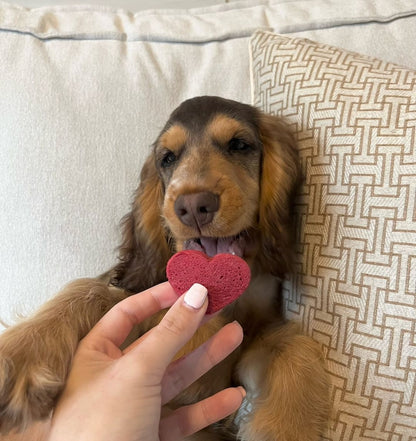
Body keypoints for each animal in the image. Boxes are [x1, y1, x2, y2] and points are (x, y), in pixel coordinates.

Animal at [0, 97, 332, 440]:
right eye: (168, 158)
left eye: (239, 145)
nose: (193, 207)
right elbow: (92, 289)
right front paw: (20, 354)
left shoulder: (247, 343)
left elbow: (292, 343)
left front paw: (288, 428)